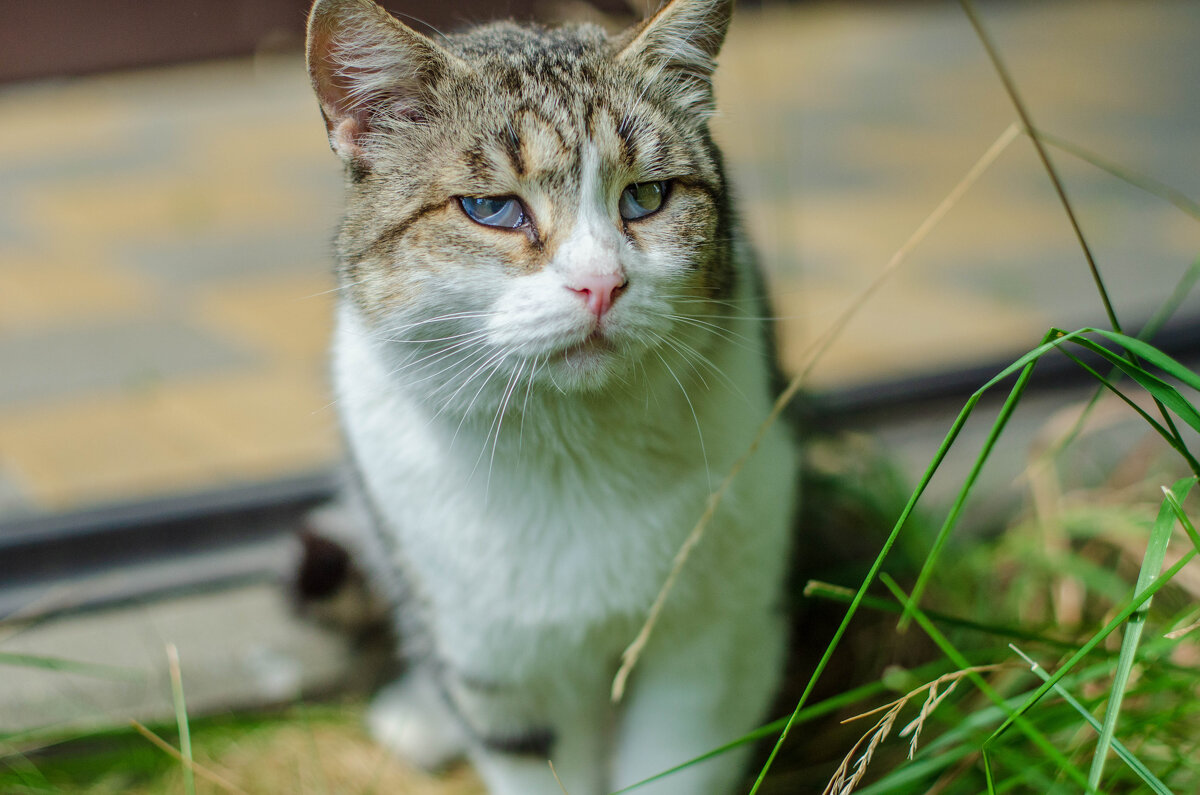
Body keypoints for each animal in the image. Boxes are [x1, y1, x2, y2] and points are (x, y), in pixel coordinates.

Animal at [304, 0, 801, 792]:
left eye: (647, 196)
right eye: (490, 208)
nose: (601, 284)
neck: (575, 447)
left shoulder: (714, 646)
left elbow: (676, 761)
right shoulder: (503, 674)